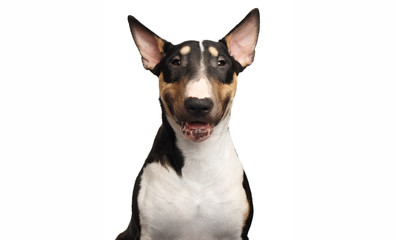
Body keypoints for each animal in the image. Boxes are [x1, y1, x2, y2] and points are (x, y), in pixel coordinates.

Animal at [117, 8, 260, 240]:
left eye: (221, 62)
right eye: (175, 62)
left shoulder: (237, 234)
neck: (198, 159)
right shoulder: (147, 232)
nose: (198, 104)